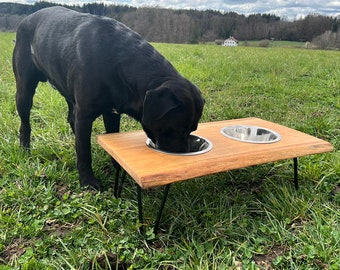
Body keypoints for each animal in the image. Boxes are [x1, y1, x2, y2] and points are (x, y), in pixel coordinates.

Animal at [12, 7, 205, 191]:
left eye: (192, 129)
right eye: (177, 129)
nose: (184, 155)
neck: (120, 63)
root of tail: (27, 19)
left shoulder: (112, 112)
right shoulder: (84, 114)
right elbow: (84, 152)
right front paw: (88, 181)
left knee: (71, 119)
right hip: (24, 91)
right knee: (25, 123)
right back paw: (25, 149)